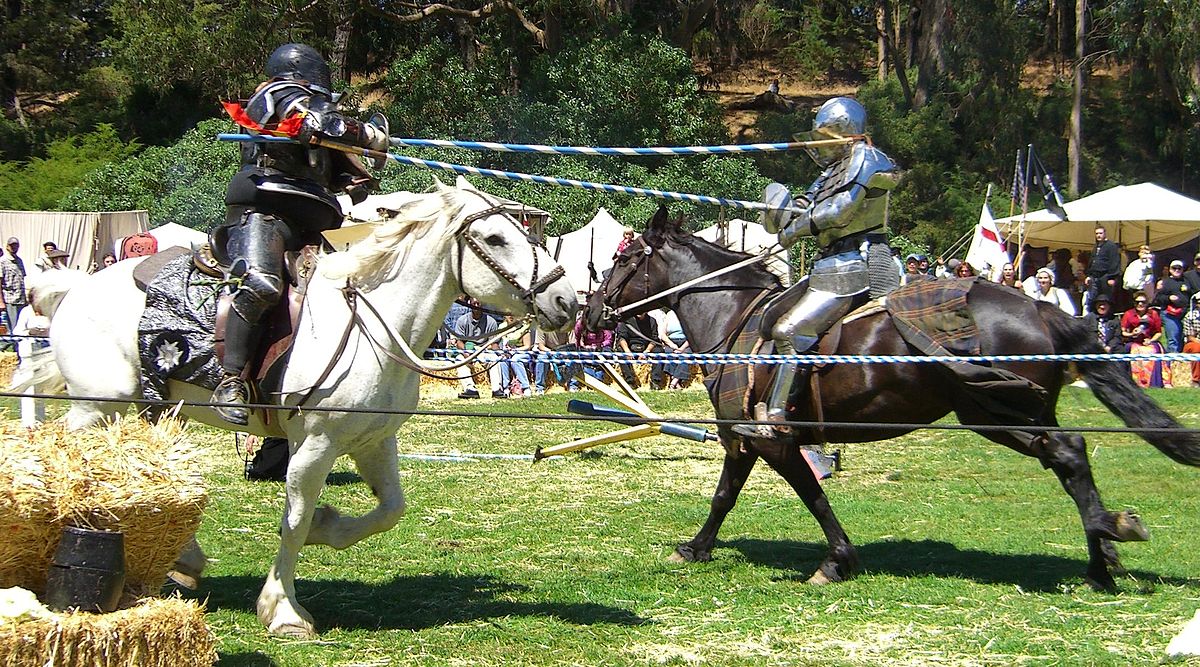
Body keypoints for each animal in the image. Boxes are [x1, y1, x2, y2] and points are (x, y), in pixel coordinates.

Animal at [39, 181, 578, 633]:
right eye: (495, 238)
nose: (566, 301)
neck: (375, 327)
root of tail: (76, 288)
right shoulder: (315, 445)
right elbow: (294, 523)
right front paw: (283, 609)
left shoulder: (374, 442)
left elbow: (389, 511)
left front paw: (328, 525)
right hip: (96, 406)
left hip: (155, 409)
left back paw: (185, 561)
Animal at [583, 207, 1200, 587]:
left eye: (622, 260)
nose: (591, 312)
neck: (735, 316)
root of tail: (1043, 308)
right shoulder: (749, 440)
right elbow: (726, 496)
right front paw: (697, 547)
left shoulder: (767, 438)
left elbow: (806, 494)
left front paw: (837, 561)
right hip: (1003, 415)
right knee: (1070, 458)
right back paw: (1103, 557)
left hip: (1000, 413)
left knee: (1070, 452)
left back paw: (1105, 544)